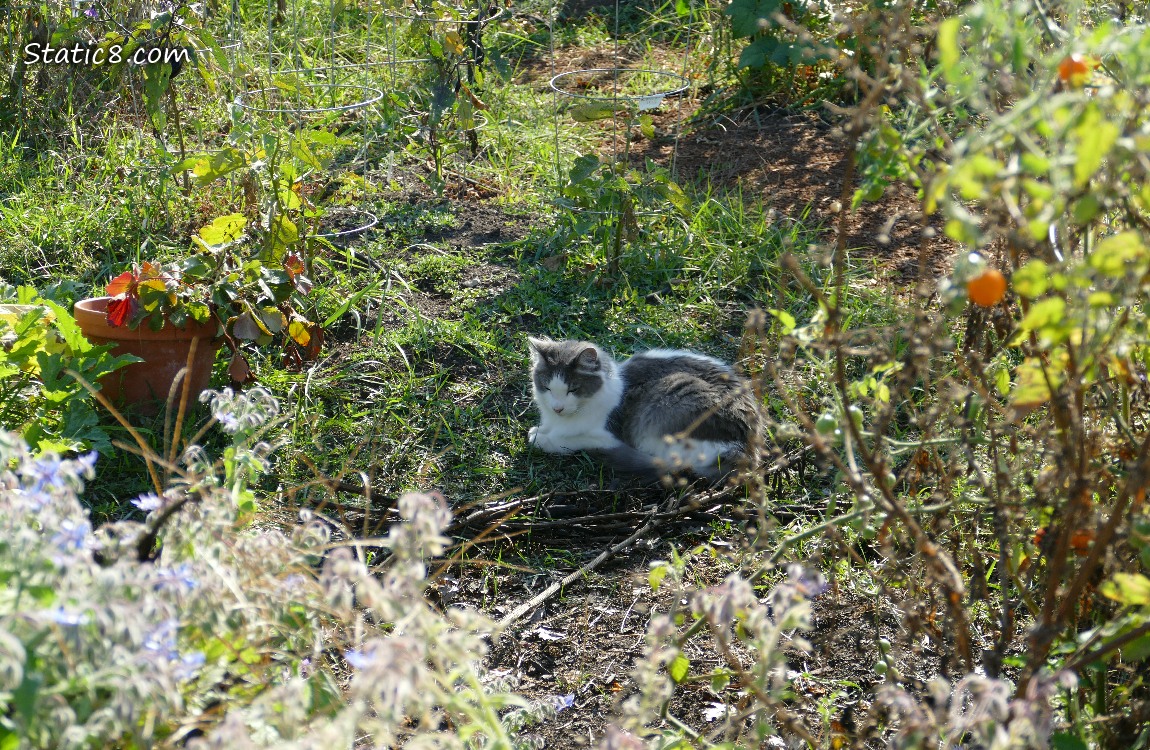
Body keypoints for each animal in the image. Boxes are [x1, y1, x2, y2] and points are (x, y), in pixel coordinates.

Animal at [526, 335, 763, 483]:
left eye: (573, 389)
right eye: (547, 387)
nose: (557, 408)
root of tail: (742, 447)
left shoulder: (606, 436)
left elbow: (570, 439)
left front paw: (541, 439)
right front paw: (540, 430)